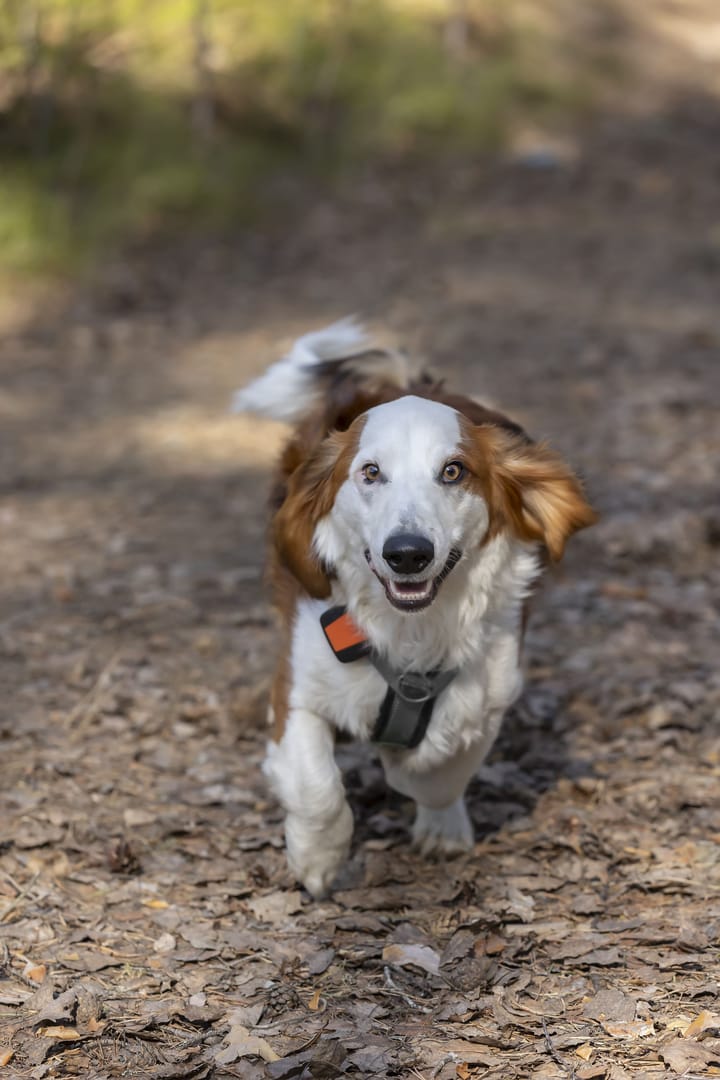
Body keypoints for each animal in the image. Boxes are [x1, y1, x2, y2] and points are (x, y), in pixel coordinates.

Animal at [234, 319, 595, 894]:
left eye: (453, 471)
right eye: (370, 472)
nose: (407, 554)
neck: (411, 629)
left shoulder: (490, 694)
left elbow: (437, 771)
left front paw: (428, 804)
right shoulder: (297, 688)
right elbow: (317, 787)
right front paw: (317, 859)